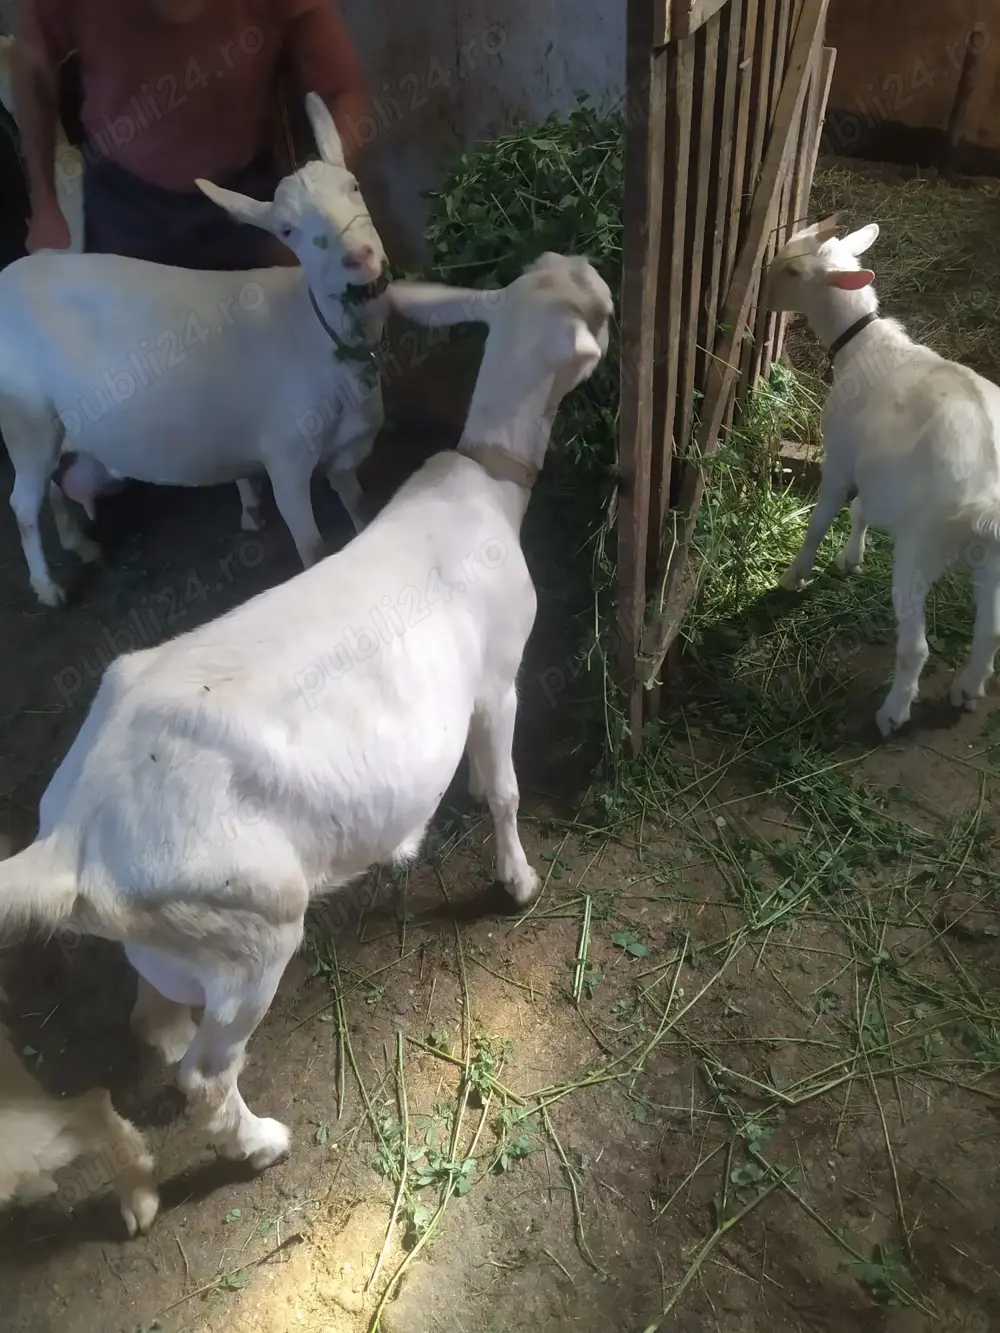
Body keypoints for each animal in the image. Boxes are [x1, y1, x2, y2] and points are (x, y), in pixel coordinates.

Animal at [0, 91, 387, 608]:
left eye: (353, 187)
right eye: (287, 231)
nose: (358, 258)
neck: (317, 333)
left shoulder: (344, 455)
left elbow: (362, 513)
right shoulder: (285, 458)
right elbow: (312, 548)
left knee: (52, 491)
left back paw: (79, 544)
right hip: (27, 419)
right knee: (22, 503)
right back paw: (48, 588)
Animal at [0, 252, 613, 1171]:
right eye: (598, 309)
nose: (604, 278)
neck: (484, 487)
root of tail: (72, 839)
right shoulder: (496, 678)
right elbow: (500, 790)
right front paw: (518, 881)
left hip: (171, 940)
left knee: (155, 1018)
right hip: (248, 925)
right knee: (207, 1069)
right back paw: (259, 1142)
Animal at [763, 215, 1000, 736]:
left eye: (793, 272)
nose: (762, 295)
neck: (861, 342)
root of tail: (986, 498)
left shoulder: (840, 454)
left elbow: (822, 517)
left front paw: (795, 575)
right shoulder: (876, 470)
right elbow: (861, 508)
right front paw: (851, 557)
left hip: (919, 547)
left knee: (915, 646)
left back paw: (893, 712)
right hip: (995, 561)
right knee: (991, 629)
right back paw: (968, 688)